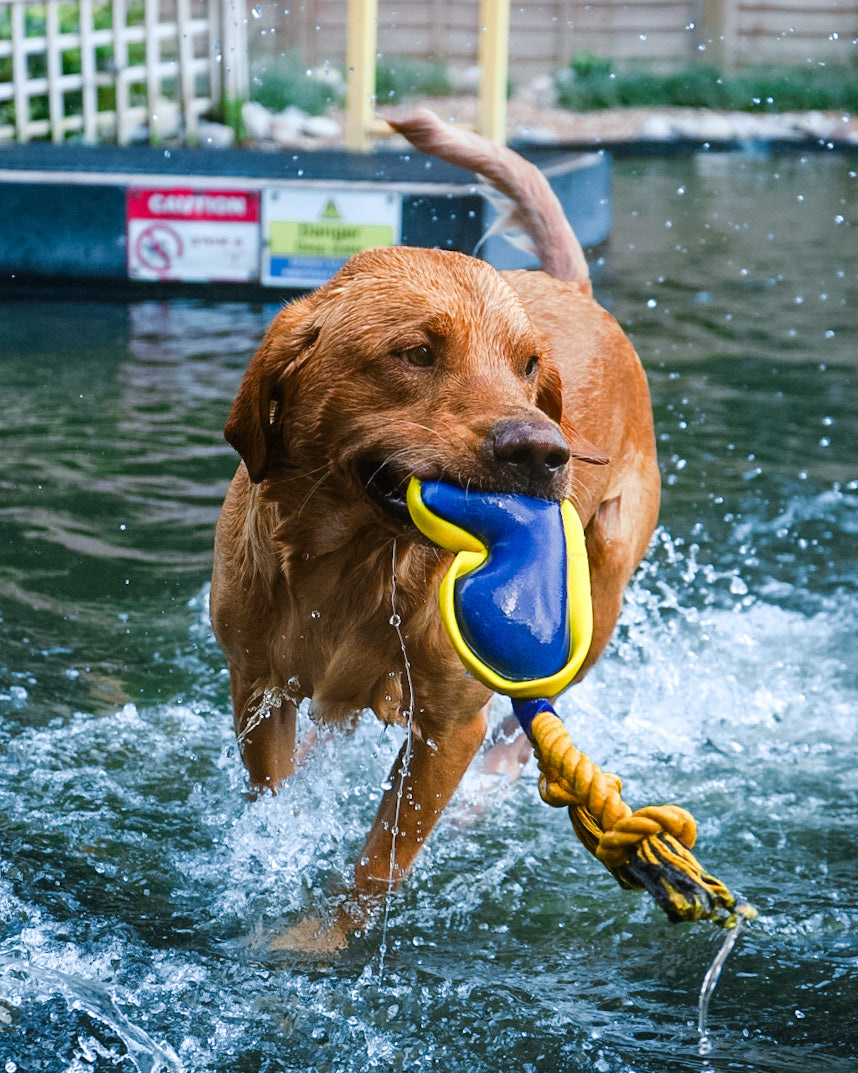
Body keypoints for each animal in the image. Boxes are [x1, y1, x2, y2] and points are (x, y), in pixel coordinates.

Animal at [211, 106, 660, 948]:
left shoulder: (449, 725)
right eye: (416, 352)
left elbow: (380, 861)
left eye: (527, 366)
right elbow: (272, 799)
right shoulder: (256, 686)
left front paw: (321, 940)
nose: (544, 452)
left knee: (528, 725)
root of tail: (571, 287)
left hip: (604, 588)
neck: (355, 564)